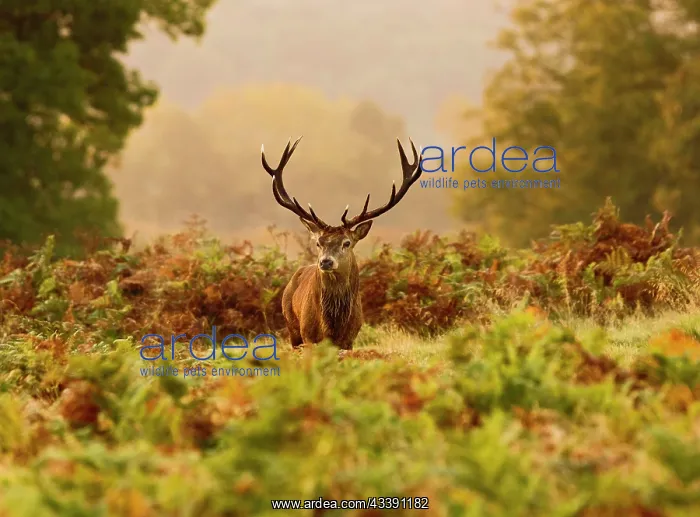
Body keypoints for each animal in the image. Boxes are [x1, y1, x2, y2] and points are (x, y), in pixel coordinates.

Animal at [260, 137, 423, 351]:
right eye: (318, 243)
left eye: (347, 243)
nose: (325, 262)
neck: (332, 328)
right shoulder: (309, 337)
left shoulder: (349, 340)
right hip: (292, 326)